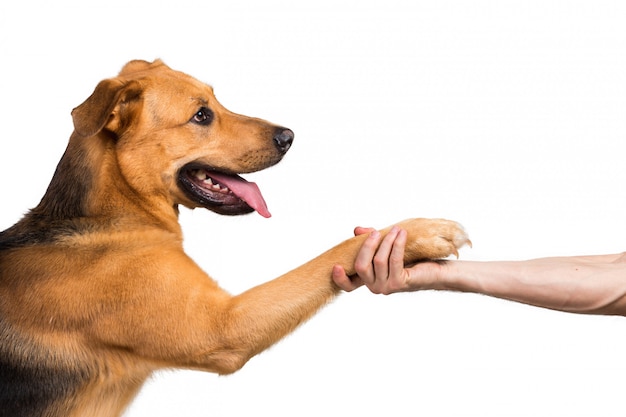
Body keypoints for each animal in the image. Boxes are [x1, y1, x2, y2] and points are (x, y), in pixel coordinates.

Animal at [0, 59, 468, 416]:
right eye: (201, 115)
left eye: (217, 101)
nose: (288, 137)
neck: (111, 216)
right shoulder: (223, 328)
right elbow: (328, 254)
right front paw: (421, 232)